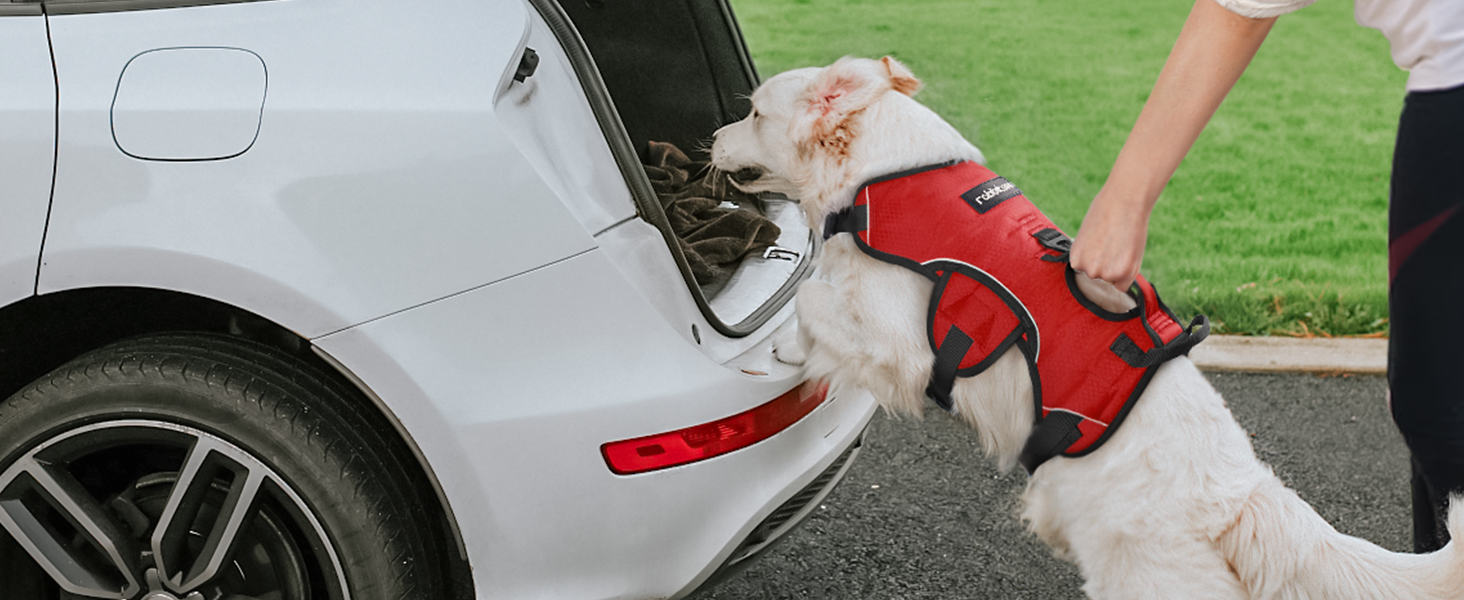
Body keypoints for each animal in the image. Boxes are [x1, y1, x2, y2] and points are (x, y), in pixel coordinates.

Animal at [708, 55, 1464, 594]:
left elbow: (812, 300)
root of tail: (1243, 494)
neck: (880, 172)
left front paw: (785, 350)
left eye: (754, 112)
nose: (710, 136)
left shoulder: (902, 339)